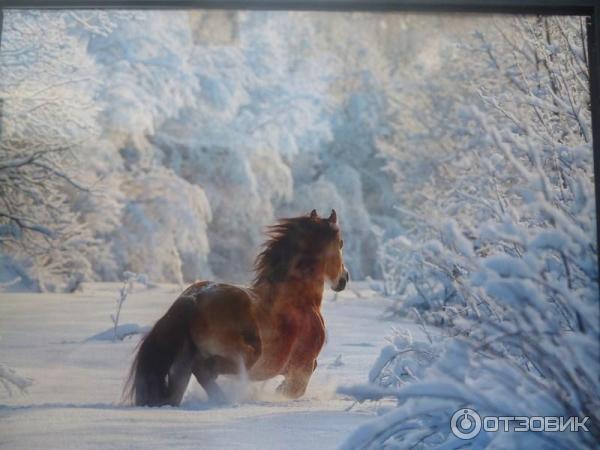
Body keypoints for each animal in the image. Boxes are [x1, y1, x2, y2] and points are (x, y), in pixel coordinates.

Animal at [125, 209, 350, 406]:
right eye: (340, 243)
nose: (344, 278)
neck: (299, 299)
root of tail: (192, 300)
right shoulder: (303, 366)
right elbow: (294, 390)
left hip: (183, 363)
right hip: (247, 355)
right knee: (204, 370)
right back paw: (224, 400)